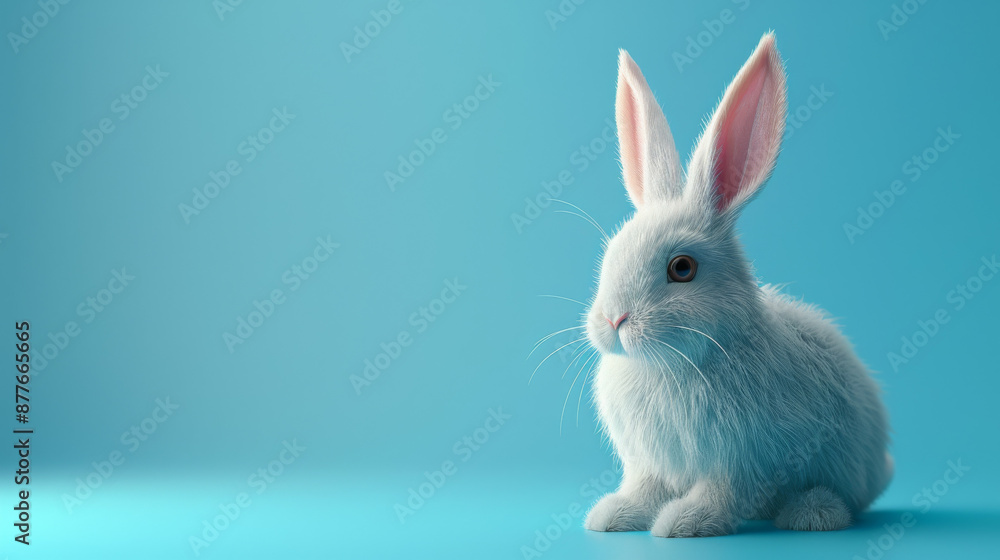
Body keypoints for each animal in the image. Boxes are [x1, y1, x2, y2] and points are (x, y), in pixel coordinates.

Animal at [582, 32, 892, 538]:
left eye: (682, 268)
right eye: (611, 251)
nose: (613, 320)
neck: (671, 363)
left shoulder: (741, 460)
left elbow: (721, 492)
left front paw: (683, 522)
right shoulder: (647, 464)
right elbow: (643, 489)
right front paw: (612, 515)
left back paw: (810, 514)